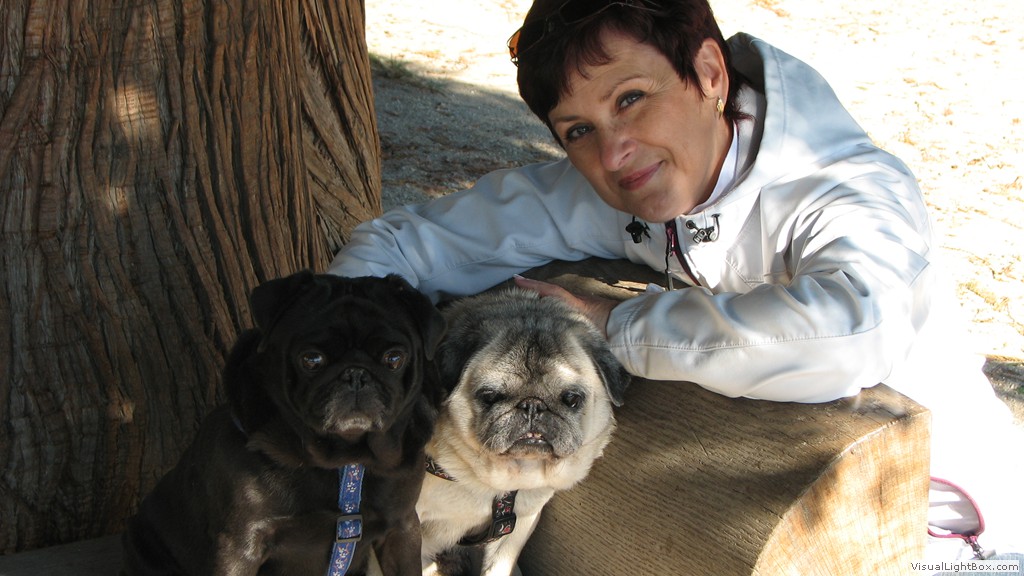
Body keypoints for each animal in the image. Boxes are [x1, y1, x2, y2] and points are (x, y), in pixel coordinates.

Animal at [121, 271, 446, 576]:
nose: (356, 374)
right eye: (311, 359)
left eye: (394, 358)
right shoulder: (239, 547)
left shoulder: (401, 528)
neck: (347, 461)